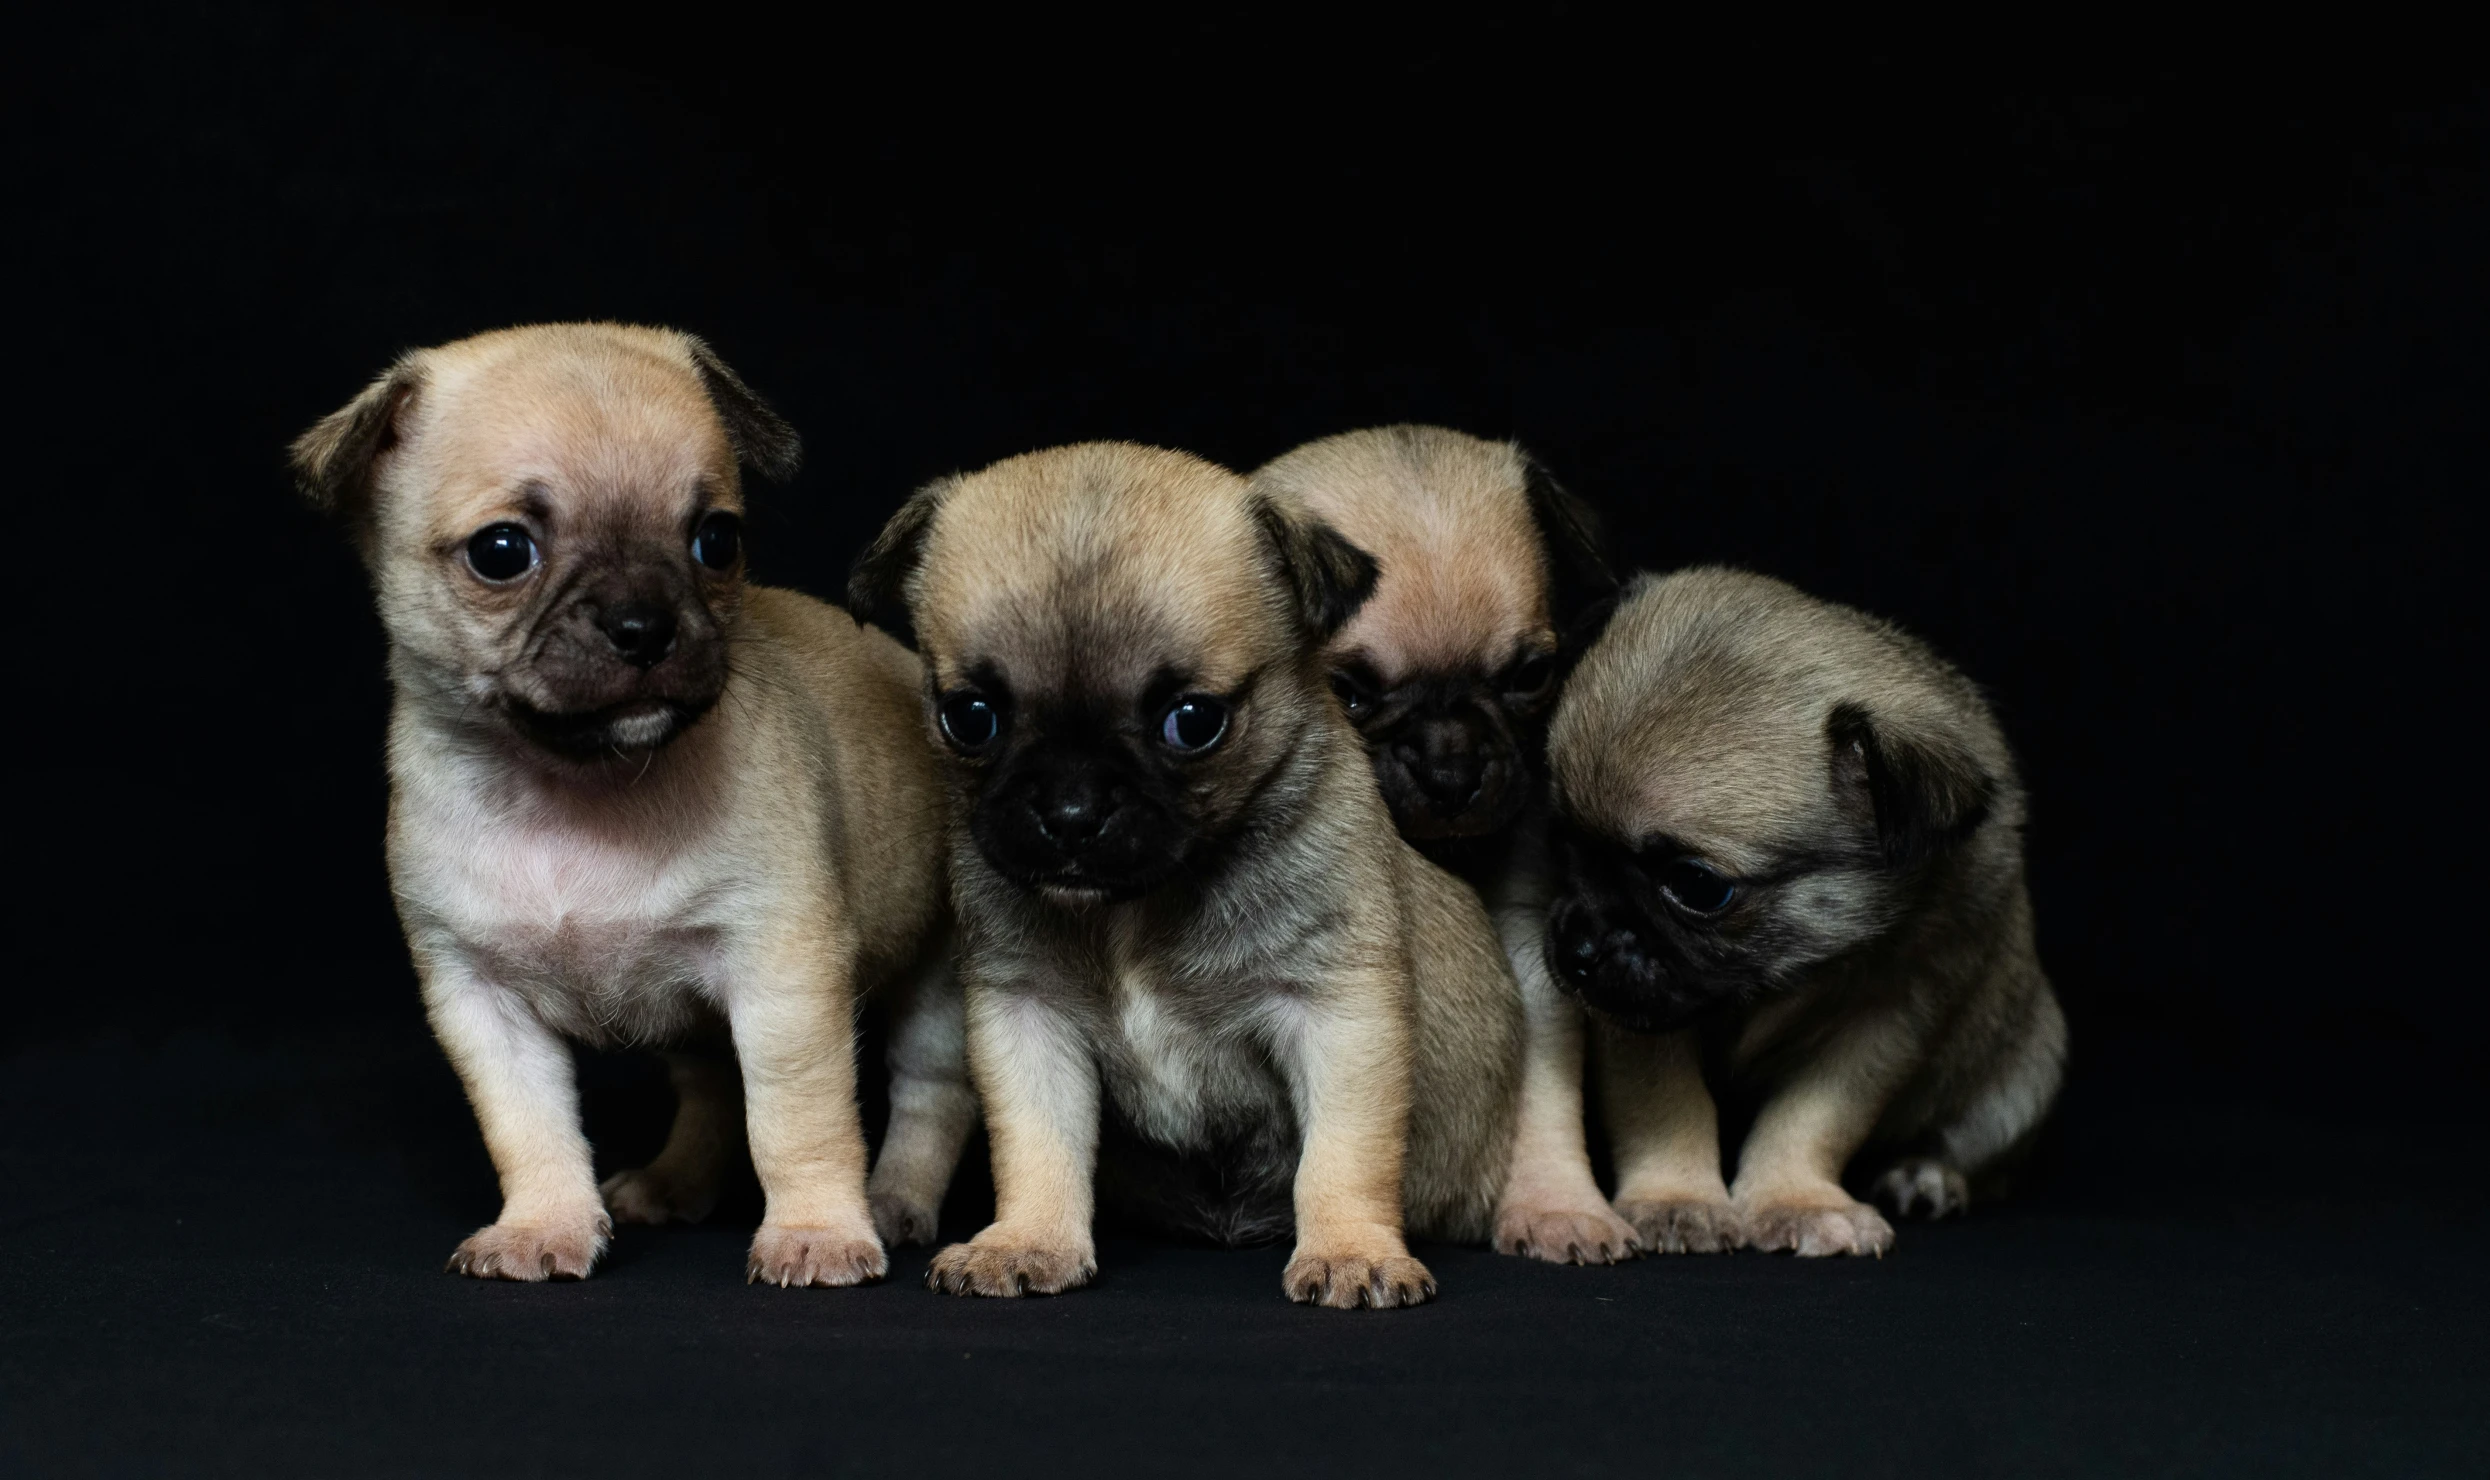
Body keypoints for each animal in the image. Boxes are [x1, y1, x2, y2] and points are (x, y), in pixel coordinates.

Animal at [296, 323, 976, 1275]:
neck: (576, 789)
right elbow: (529, 1128)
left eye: (717, 541)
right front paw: (543, 1224)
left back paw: (894, 1201)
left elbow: (795, 1121)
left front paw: (816, 1232)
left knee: (926, 1091)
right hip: (691, 1022)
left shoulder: (783, 981)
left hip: (936, 980)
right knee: (713, 1090)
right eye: (502, 553)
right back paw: (673, 1185)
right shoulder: (482, 1003)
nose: (643, 624)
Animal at [851, 436, 1513, 1305]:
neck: (1133, 907)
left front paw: (1350, 1250)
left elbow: (1342, 1156)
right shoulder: (1029, 1020)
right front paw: (1029, 1240)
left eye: (1193, 724)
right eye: (970, 718)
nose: (1071, 810)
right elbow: (1038, 1146)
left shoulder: (1337, 1017)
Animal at [1254, 423, 1643, 1255]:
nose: (1450, 765)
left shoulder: (1530, 956)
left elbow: (1543, 1098)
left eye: (1531, 675)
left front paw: (1559, 1203)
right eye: (1349, 692)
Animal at [1553, 570, 2061, 1250]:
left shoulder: (1884, 1021)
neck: (1791, 973)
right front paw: (1677, 1198)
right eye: (1563, 841)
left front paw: (1795, 1201)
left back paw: (1926, 1175)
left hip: (2024, 1075)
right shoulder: (1642, 1018)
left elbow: (1811, 1118)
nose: (1576, 949)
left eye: (1697, 887)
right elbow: (1666, 1106)